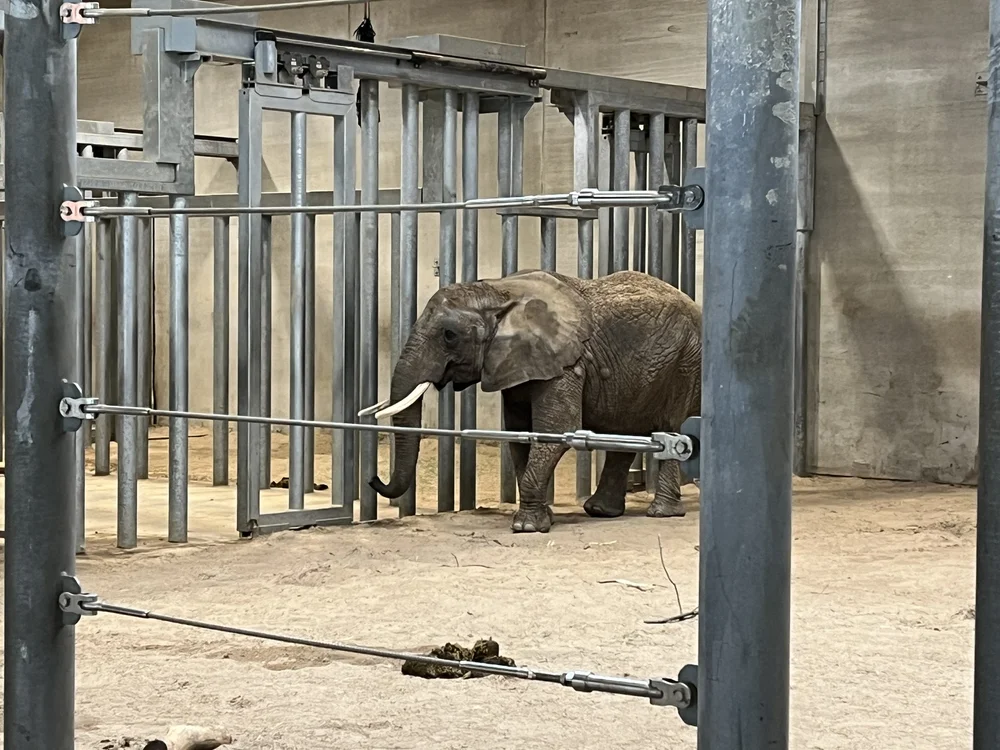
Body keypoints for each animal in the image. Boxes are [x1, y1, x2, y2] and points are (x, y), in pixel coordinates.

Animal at [364, 268, 702, 533]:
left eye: (449, 335)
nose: (373, 479)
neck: (497, 291)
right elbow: (519, 433)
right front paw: (543, 518)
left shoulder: (565, 363)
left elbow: (554, 430)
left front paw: (526, 527)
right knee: (624, 432)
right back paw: (600, 511)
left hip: (685, 363)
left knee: (671, 427)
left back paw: (660, 513)